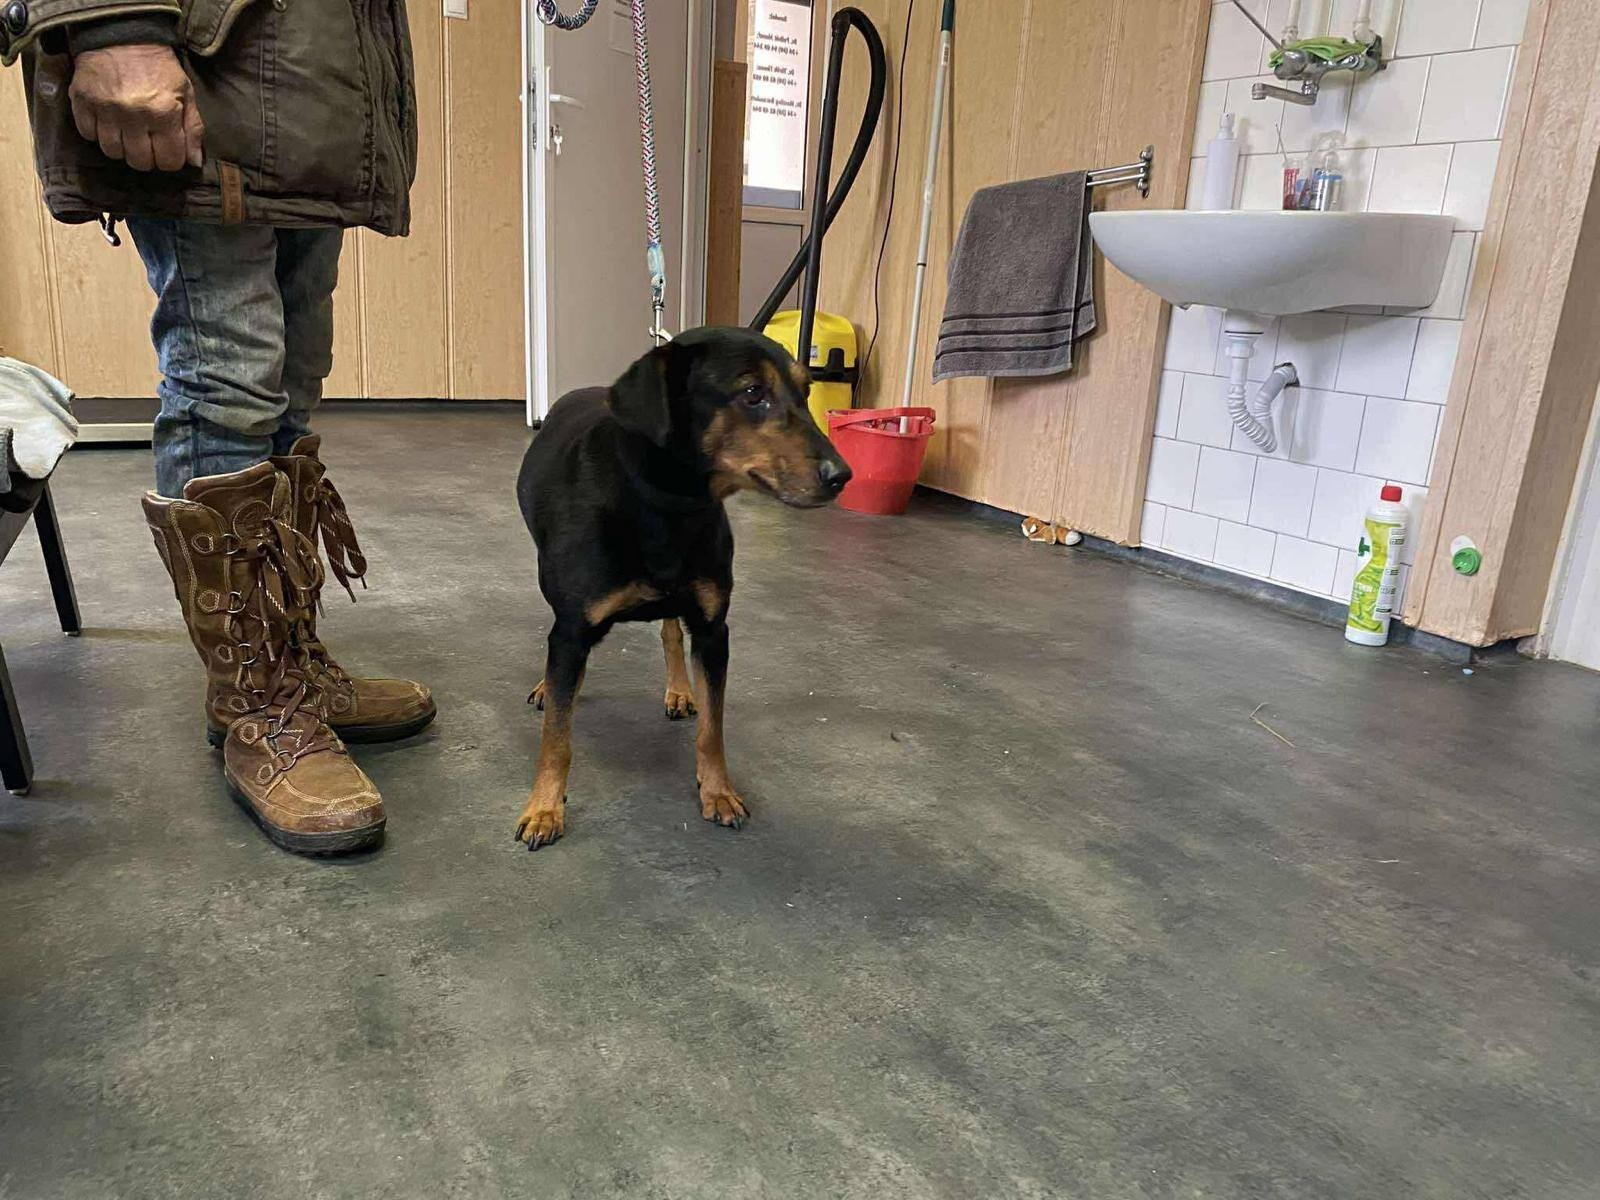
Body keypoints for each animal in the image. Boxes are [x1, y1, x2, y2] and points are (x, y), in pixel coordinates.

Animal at [513, 326, 853, 848]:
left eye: (806, 391)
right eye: (752, 392)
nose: (842, 476)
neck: (666, 503)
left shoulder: (714, 630)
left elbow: (713, 728)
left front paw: (718, 791)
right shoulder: (571, 630)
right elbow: (557, 737)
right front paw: (544, 807)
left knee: (670, 630)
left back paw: (678, 688)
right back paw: (548, 686)